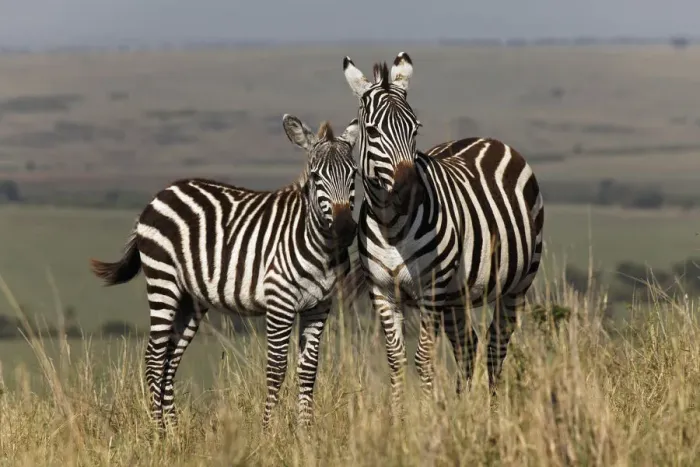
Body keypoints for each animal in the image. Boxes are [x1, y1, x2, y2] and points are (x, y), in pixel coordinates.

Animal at [89, 114, 361, 429]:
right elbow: (276, 370)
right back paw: (159, 431)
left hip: (190, 299)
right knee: (155, 359)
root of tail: (160, 194)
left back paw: (174, 430)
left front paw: (305, 432)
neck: (320, 247)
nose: (344, 229)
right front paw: (268, 430)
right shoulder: (279, 302)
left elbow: (308, 371)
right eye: (316, 177)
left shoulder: (319, 306)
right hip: (163, 281)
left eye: (354, 175)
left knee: (170, 359)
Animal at [341, 52, 545, 415]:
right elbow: (396, 360)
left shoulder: (431, 290)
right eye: (372, 131)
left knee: (495, 347)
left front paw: (424, 418)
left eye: (414, 129)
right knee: (467, 347)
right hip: (456, 297)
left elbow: (424, 359)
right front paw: (399, 418)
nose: (410, 191)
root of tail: (488, 140)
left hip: (517, 285)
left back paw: (491, 414)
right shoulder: (382, 292)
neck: (392, 226)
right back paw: (463, 412)